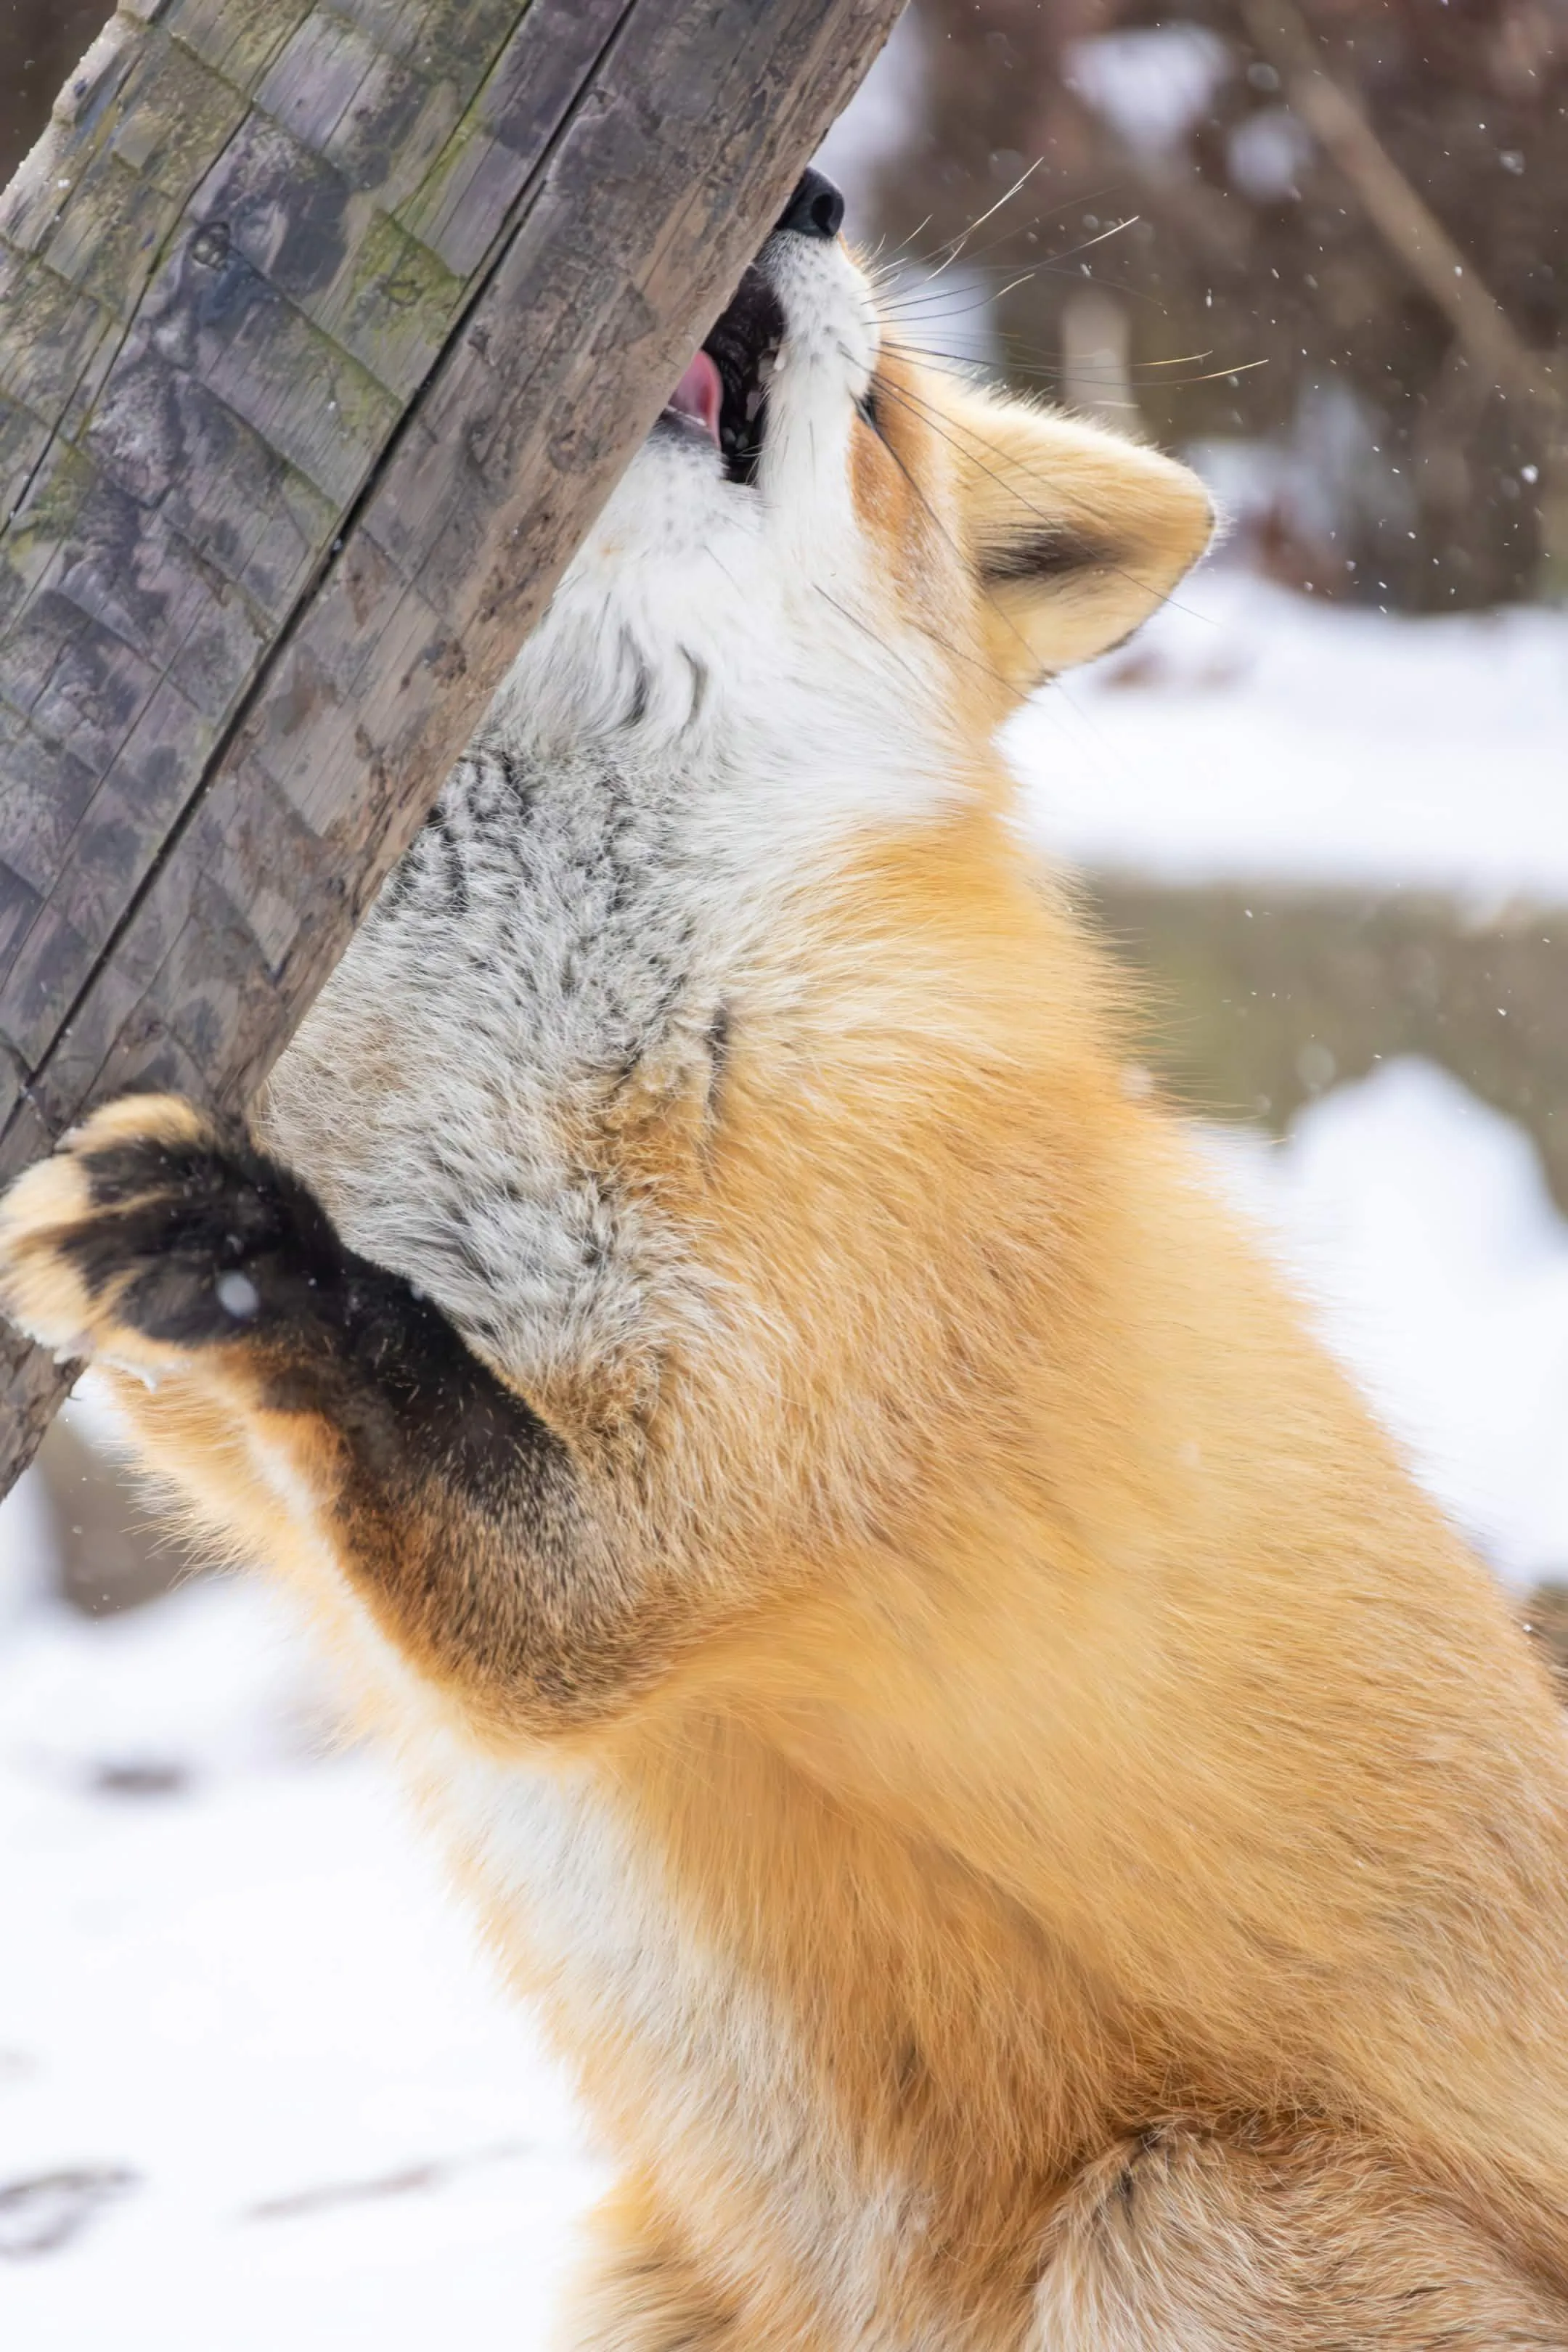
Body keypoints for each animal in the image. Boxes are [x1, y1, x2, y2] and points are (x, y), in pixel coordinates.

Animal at [5, 166, 1568, 2347]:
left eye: (884, 418)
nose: (813, 188)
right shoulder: (243, 1453)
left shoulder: (671, 1539)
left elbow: (416, 1400)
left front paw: (249, 1255)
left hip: (1178, 2220)